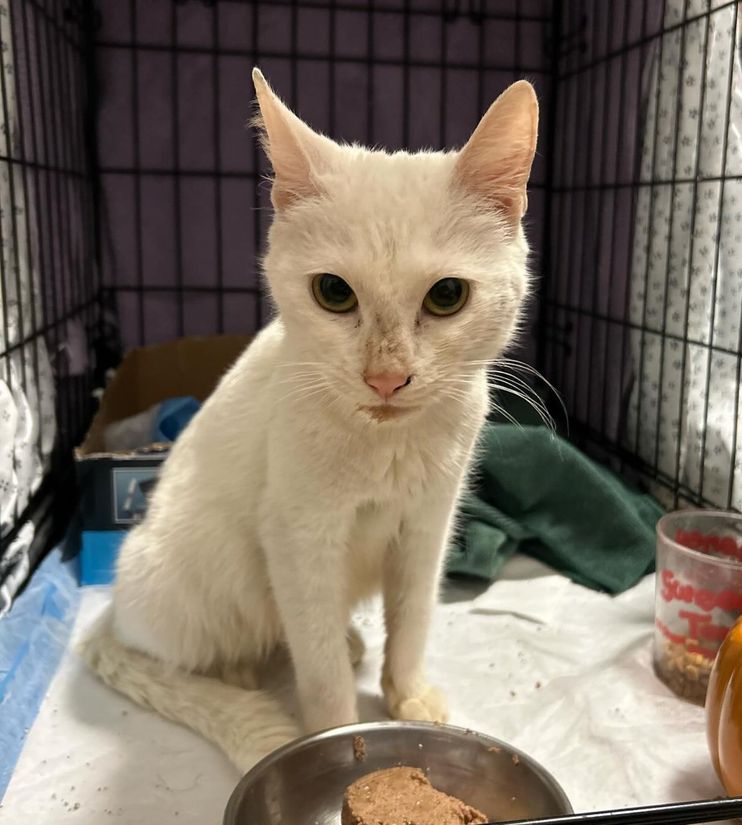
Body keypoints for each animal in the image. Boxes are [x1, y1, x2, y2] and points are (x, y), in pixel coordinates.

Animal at [81, 67, 536, 768]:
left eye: (447, 296)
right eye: (333, 292)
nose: (386, 377)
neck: (384, 442)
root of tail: (114, 605)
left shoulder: (427, 525)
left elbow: (412, 620)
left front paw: (406, 696)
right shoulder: (298, 537)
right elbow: (317, 668)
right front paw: (335, 736)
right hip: (207, 576)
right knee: (172, 655)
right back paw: (238, 673)